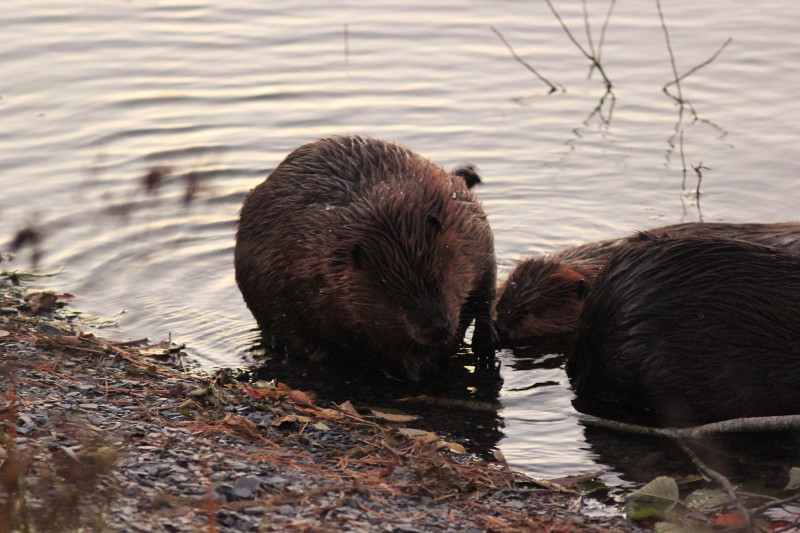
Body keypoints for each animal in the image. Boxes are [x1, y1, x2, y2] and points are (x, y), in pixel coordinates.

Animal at [231, 135, 496, 380]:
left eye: (439, 276)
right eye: (391, 296)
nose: (437, 328)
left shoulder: (468, 223)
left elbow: (486, 286)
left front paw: (484, 342)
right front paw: (421, 363)